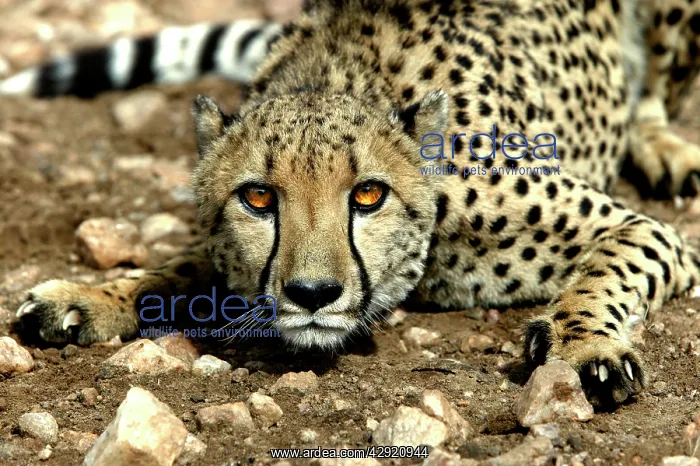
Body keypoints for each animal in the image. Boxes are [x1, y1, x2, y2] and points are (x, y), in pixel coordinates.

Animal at [5, 0, 700, 408]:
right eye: (258, 197)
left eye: (369, 193)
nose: (313, 294)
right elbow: (180, 267)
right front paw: (90, 296)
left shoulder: (643, 229)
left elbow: (605, 272)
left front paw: (585, 348)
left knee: (656, 94)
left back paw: (664, 147)